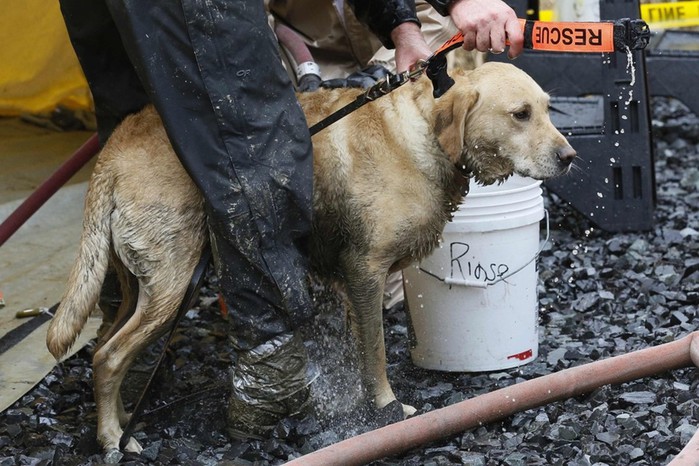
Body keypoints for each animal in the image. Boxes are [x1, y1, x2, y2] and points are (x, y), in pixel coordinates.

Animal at [47, 62, 576, 452]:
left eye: (548, 109)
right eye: (520, 114)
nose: (569, 157)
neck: (424, 131)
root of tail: (113, 152)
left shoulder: (347, 281)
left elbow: (355, 352)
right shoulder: (366, 271)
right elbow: (375, 355)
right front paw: (387, 410)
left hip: (136, 285)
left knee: (102, 348)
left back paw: (117, 420)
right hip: (172, 282)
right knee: (109, 357)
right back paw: (113, 438)